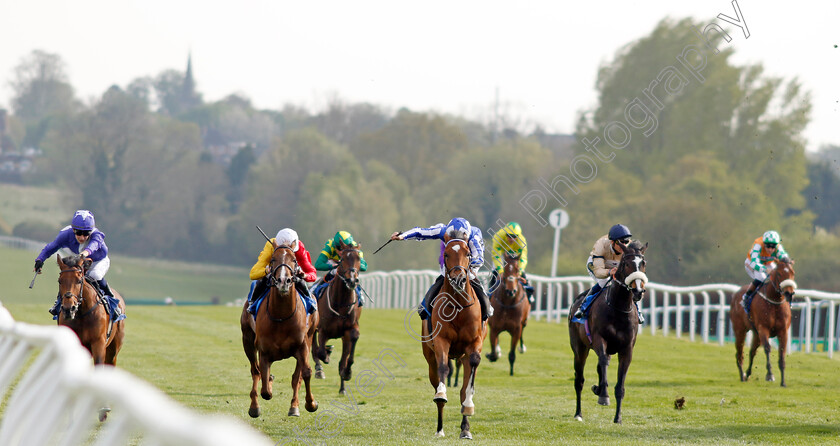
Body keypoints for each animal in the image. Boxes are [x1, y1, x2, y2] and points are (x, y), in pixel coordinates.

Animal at [244, 242, 324, 416]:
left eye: (294, 260)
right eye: (273, 259)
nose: (283, 281)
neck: (281, 316)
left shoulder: (302, 347)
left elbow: (305, 373)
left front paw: (311, 403)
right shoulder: (264, 351)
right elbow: (265, 389)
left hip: (309, 338)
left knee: (296, 377)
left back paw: (294, 406)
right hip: (247, 340)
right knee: (255, 371)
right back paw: (254, 406)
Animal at [308, 244, 360, 394]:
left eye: (359, 258)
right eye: (342, 260)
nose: (352, 280)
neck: (341, 303)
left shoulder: (350, 330)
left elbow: (346, 358)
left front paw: (347, 373)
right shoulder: (323, 330)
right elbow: (319, 352)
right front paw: (326, 357)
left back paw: (342, 387)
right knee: (315, 349)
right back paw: (320, 368)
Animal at [420, 237, 486, 440]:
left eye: (468, 253)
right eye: (446, 254)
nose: (459, 278)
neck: (458, 305)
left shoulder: (474, 343)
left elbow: (473, 367)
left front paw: (469, 407)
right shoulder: (442, 340)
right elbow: (443, 368)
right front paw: (442, 393)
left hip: (462, 357)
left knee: (464, 389)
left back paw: (465, 428)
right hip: (429, 357)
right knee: (436, 383)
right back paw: (440, 428)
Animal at [568, 242, 648, 424]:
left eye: (643, 263)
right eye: (626, 263)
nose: (638, 291)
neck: (618, 308)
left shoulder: (627, 349)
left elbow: (620, 386)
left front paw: (618, 417)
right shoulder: (599, 339)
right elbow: (603, 361)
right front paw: (604, 396)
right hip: (580, 349)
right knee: (579, 380)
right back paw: (578, 413)